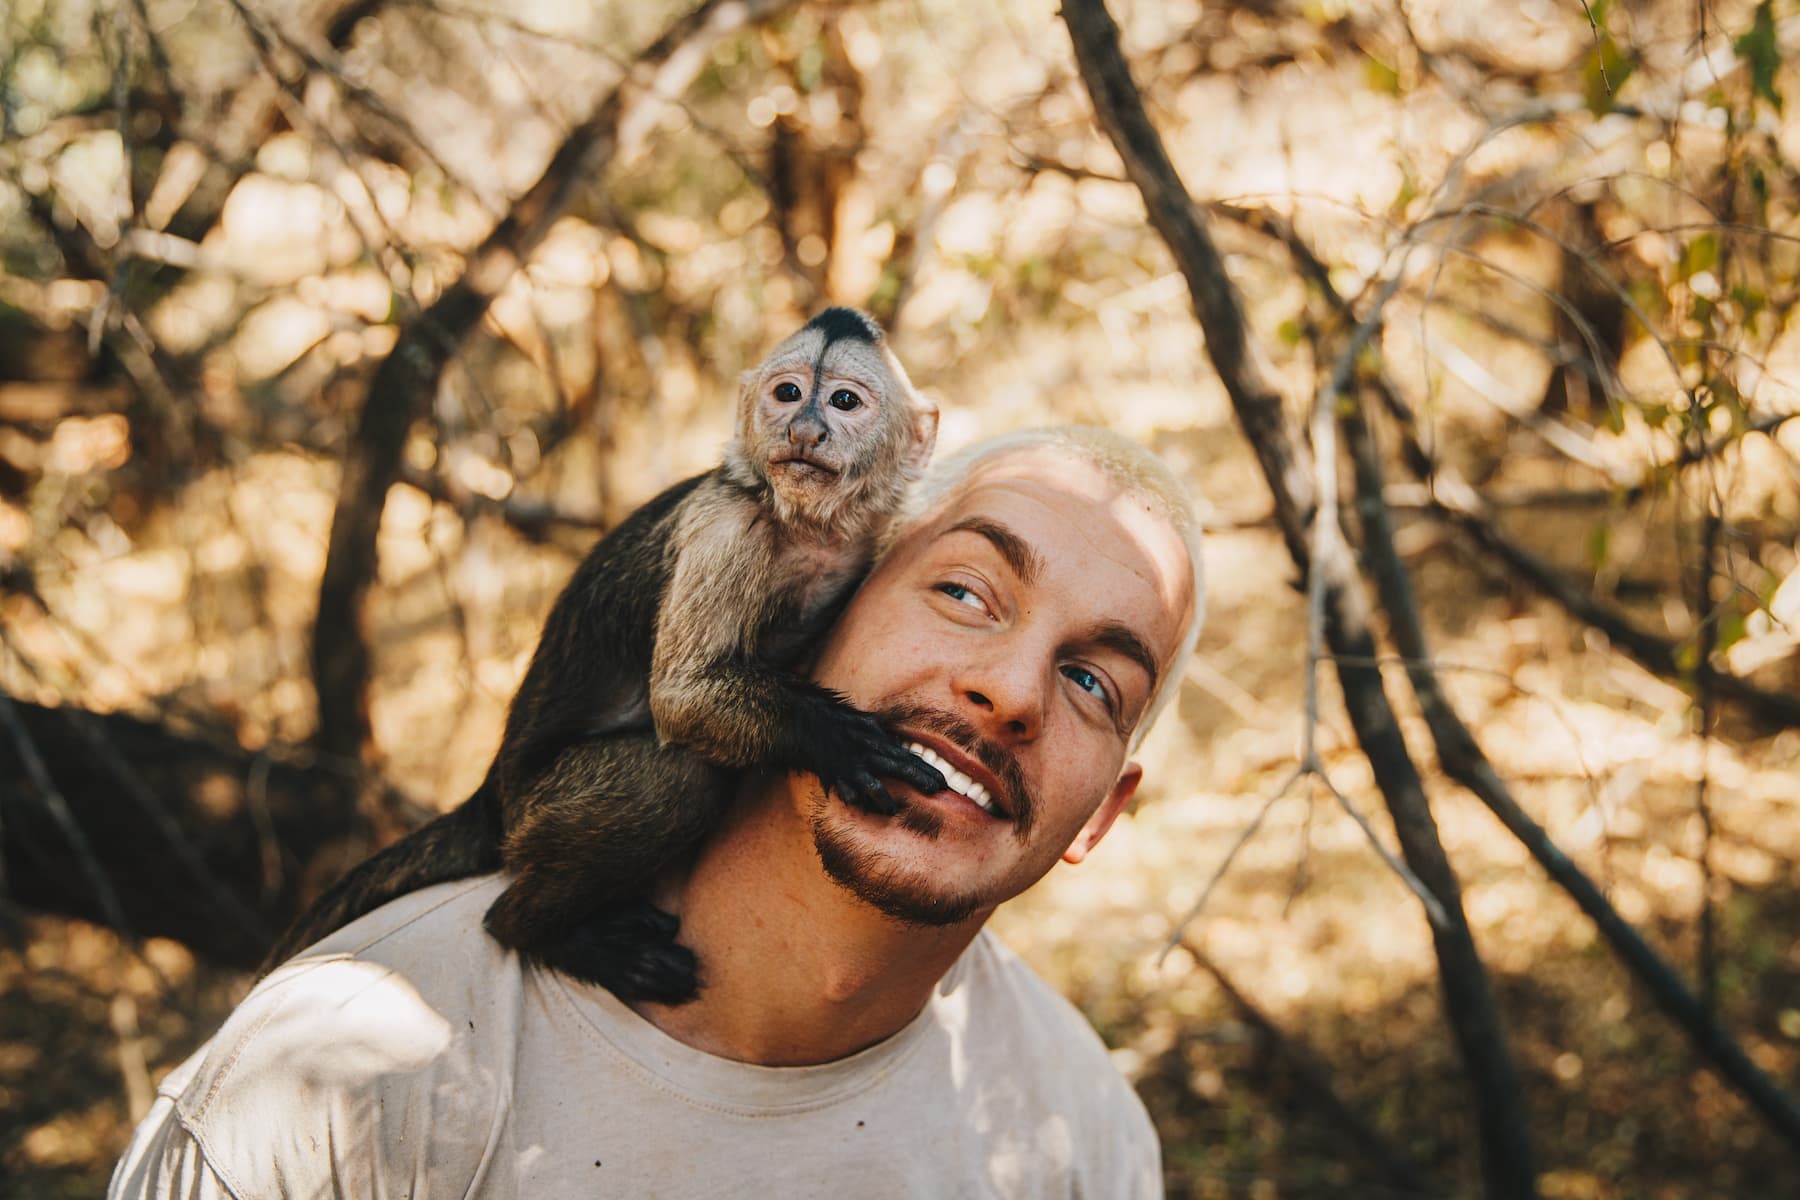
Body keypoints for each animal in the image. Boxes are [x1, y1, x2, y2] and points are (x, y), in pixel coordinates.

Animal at [268, 307, 950, 993]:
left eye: (843, 401)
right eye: (787, 393)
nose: (804, 429)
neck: (809, 530)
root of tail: (491, 797)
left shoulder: (876, 533)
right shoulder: (727, 529)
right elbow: (681, 698)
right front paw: (833, 737)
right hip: (535, 811)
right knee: (675, 779)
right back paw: (540, 931)